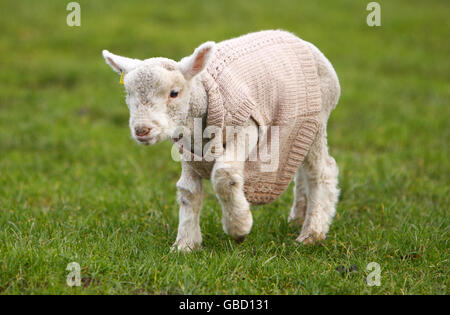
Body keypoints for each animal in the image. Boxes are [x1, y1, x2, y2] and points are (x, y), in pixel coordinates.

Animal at [103, 29, 342, 252]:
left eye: (174, 93)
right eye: (128, 94)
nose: (141, 130)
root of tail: (302, 42)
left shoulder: (246, 128)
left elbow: (224, 175)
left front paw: (239, 226)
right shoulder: (188, 152)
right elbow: (188, 192)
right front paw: (185, 244)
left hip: (316, 120)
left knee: (322, 171)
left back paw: (312, 233)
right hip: (301, 131)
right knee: (302, 168)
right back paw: (298, 218)